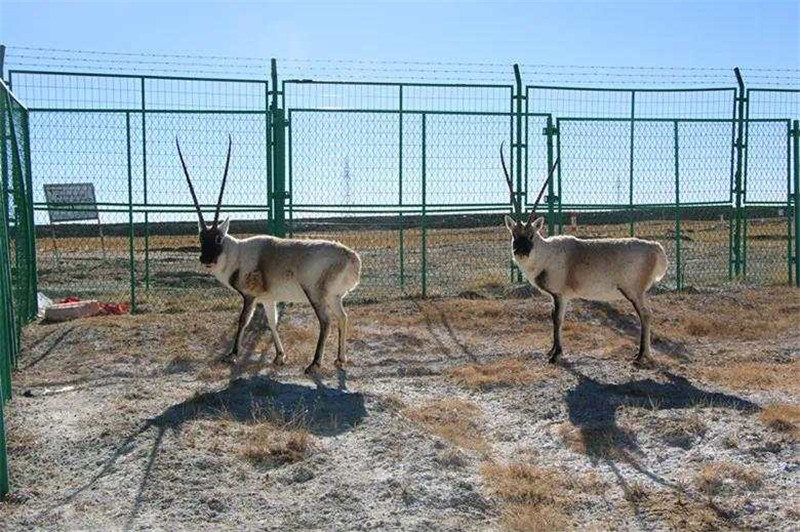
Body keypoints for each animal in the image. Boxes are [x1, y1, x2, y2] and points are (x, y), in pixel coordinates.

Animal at [178, 135, 362, 372]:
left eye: (218, 238)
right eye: (202, 238)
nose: (206, 259)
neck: (237, 252)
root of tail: (350, 256)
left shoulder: (250, 296)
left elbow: (243, 320)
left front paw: (232, 354)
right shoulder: (267, 298)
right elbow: (272, 323)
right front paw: (280, 356)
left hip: (315, 293)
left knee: (326, 321)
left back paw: (314, 363)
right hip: (334, 296)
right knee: (343, 317)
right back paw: (340, 359)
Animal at [500, 143, 668, 364]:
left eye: (531, 235)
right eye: (514, 234)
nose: (520, 251)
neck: (547, 253)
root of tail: (654, 247)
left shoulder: (560, 294)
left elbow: (557, 319)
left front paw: (556, 354)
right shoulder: (558, 297)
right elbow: (555, 317)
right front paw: (551, 350)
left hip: (633, 291)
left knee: (646, 314)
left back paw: (640, 356)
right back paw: (644, 354)